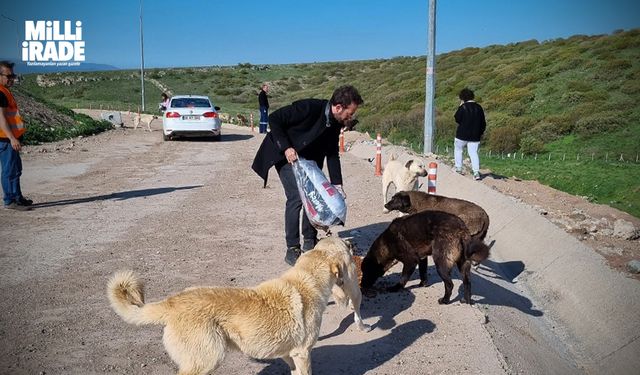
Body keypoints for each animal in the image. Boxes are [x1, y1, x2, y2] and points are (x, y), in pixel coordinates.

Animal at [106, 238, 370, 375]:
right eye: (345, 249)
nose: (353, 246)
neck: (307, 279)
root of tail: (172, 302)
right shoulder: (302, 353)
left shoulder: (289, 354)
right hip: (208, 358)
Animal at [360, 210, 490, 304]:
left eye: (366, 272)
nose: (361, 286)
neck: (386, 242)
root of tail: (461, 230)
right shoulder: (422, 258)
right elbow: (423, 272)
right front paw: (423, 284)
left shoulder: (411, 261)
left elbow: (403, 278)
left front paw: (396, 288)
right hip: (463, 265)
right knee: (467, 283)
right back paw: (466, 300)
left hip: (441, 264)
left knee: (449, 284)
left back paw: (445, 300)